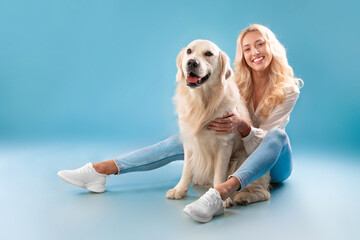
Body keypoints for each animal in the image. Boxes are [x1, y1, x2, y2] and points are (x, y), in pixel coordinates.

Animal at [166, 39, 270, 206]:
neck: (202, 103)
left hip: (243, 158)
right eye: (189, 51)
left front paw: (221, 198)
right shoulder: (190, 142)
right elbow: (187, 169)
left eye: (208, 53)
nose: (191, 62)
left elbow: (219, 174)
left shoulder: (224, 144)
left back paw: (244, 197)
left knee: (264, 192)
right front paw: (179, 190)